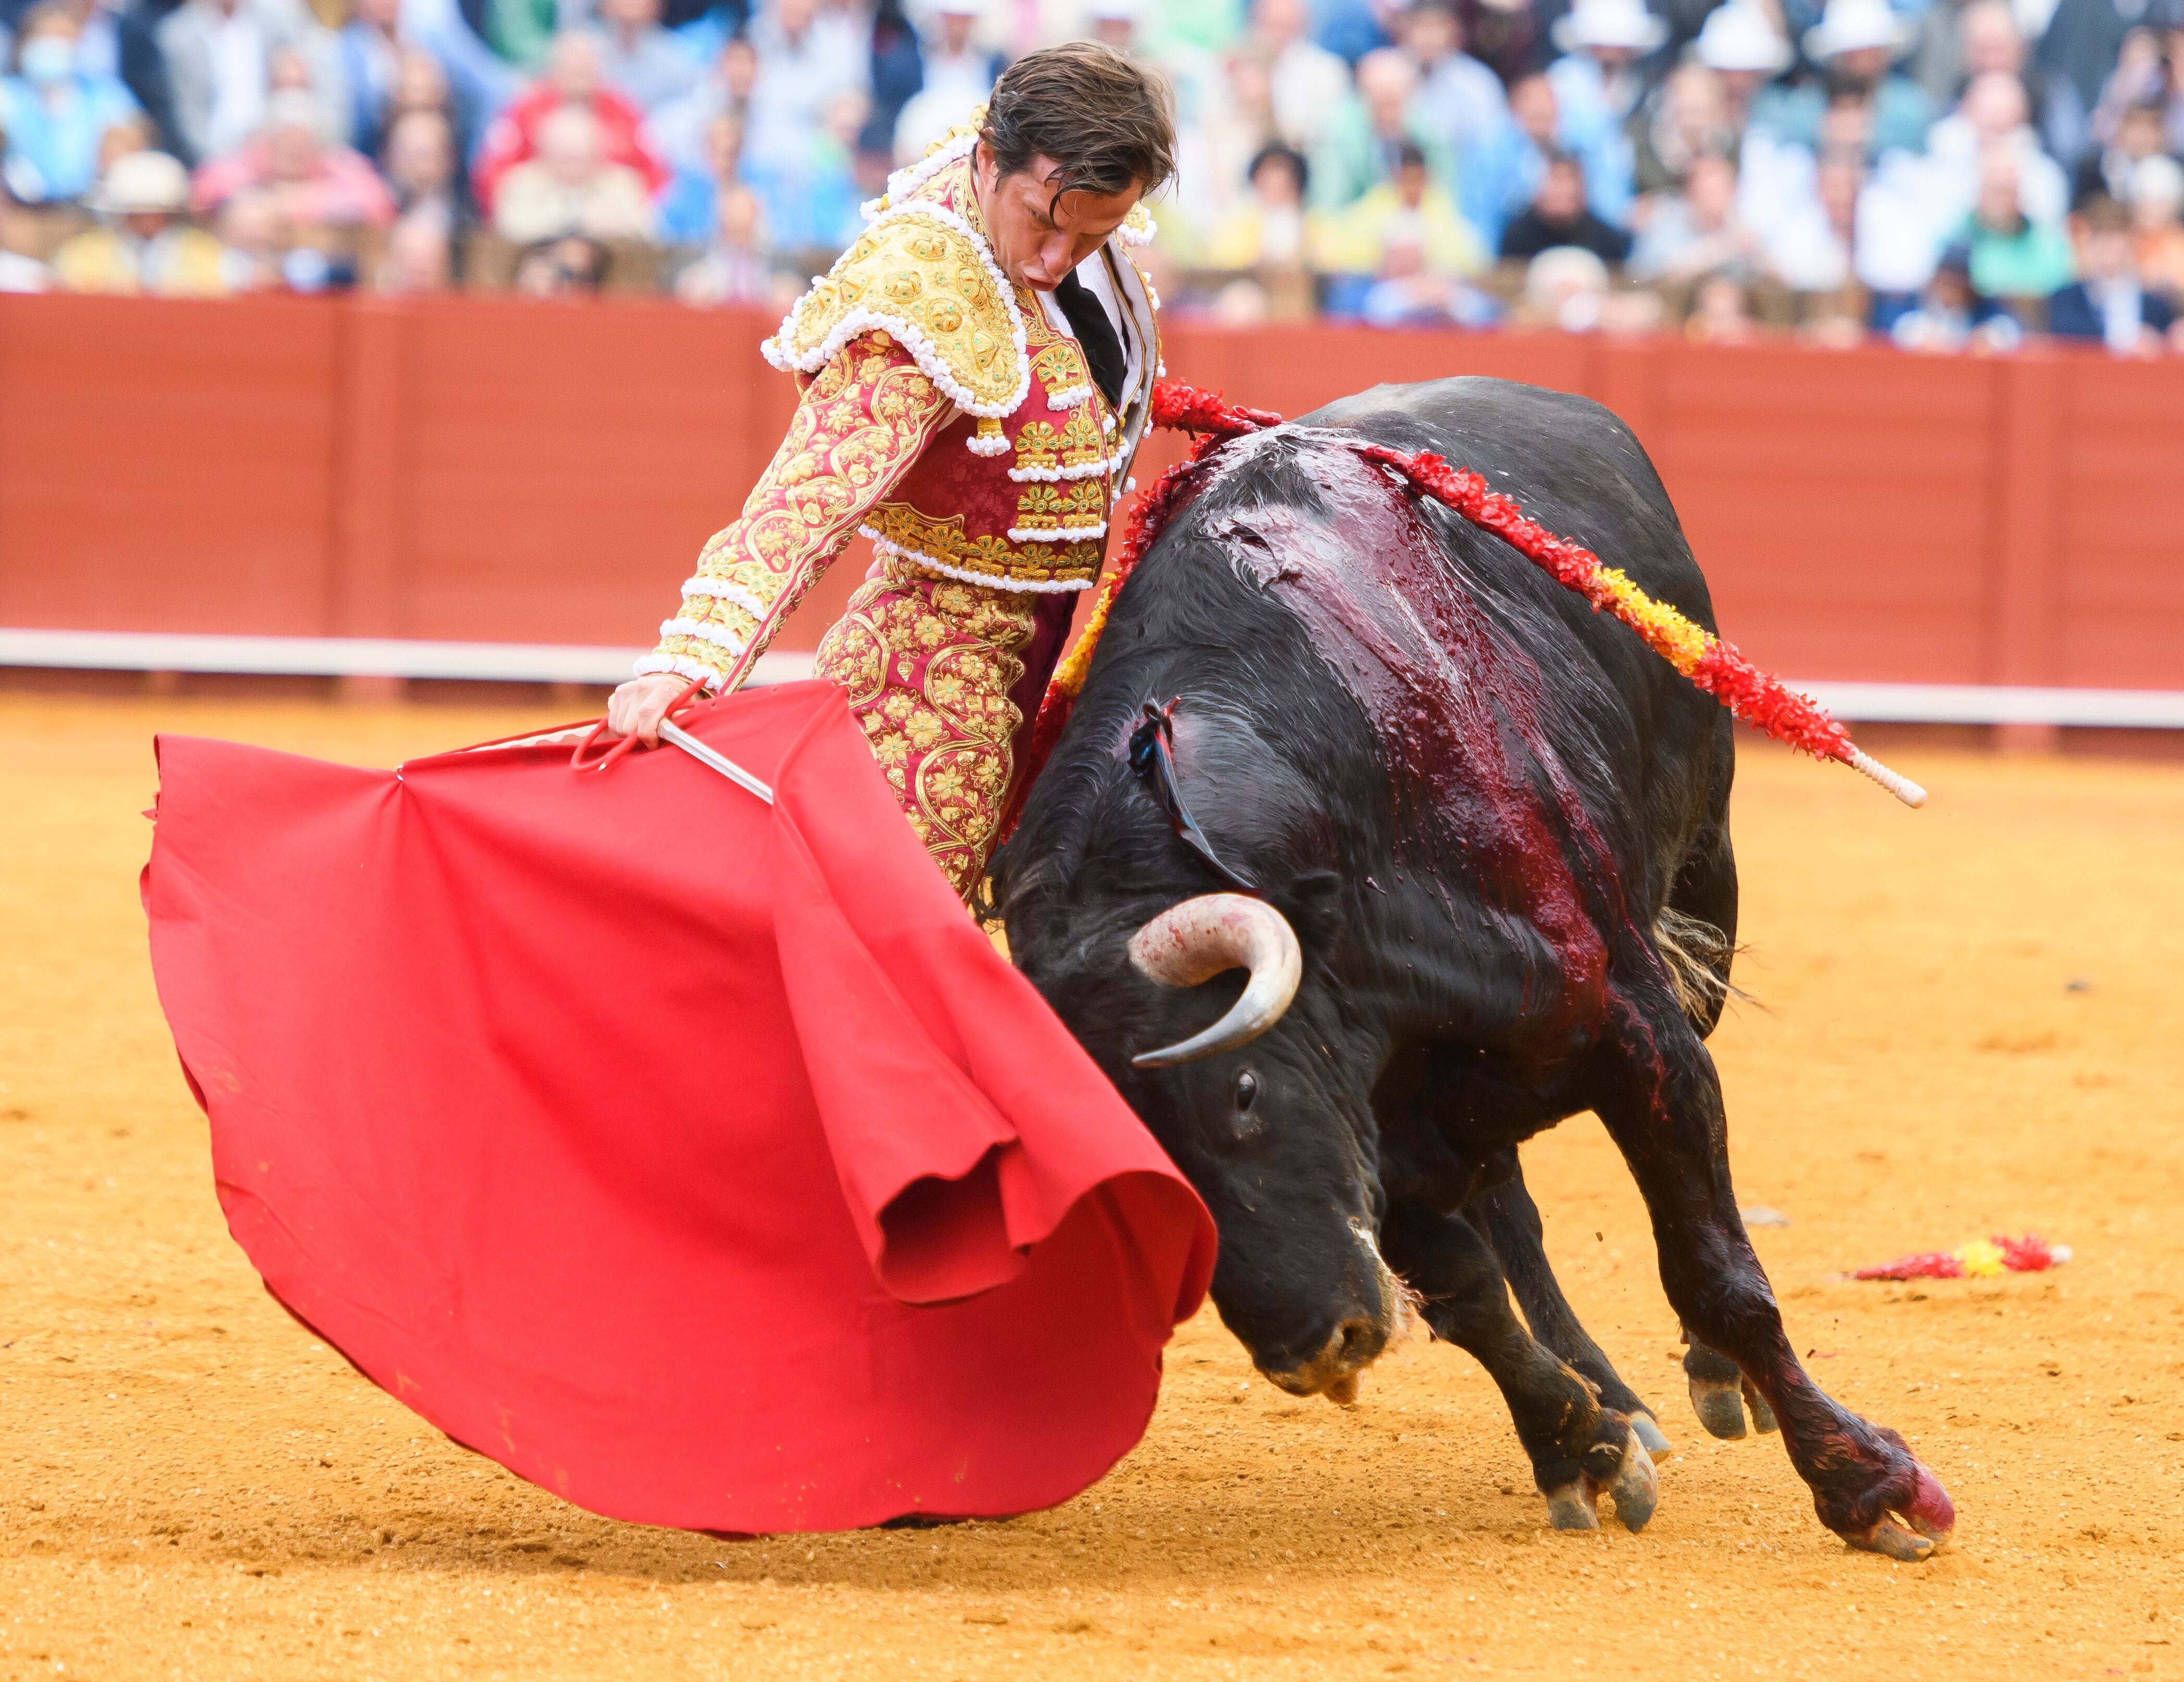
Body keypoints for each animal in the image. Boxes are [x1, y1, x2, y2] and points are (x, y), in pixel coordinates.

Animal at [1000, 373, 1957, 1555]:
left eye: (1242, 1090)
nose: (1310, 1351)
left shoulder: (1637, 1027)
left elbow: (1713, 1266)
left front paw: (1870, 1484)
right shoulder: (1384, 1125)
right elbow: (1469, 1297)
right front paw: (1579, 1446)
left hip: (1704, 891)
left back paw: (1709, 1380)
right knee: (1511, 1218)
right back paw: (1618, 1406)